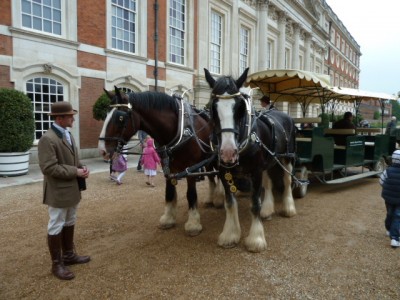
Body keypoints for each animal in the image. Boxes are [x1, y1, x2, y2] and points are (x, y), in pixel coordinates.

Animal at [97, 86, 222, 237]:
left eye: (120, 117)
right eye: (106, 114)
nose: (102, 150)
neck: (180, 129)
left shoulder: (190, 168)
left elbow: (191, 194)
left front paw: (193, 224)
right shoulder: (167, 166)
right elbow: (169, 192)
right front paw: (168, 218)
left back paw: (219, 198)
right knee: (211, 177)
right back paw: (211, 198)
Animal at [205, 68, 296, 253]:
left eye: (240, 108)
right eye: (213, 108)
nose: (228, 153)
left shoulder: (255, 172)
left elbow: (254, 203)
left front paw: (256, 239)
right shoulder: (225, 172)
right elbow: (230, 203)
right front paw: (230, 234)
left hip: (287, 158)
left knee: (287, 180)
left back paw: (289, 208)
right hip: (267, 162)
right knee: (268, 183)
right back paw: (267, 210)